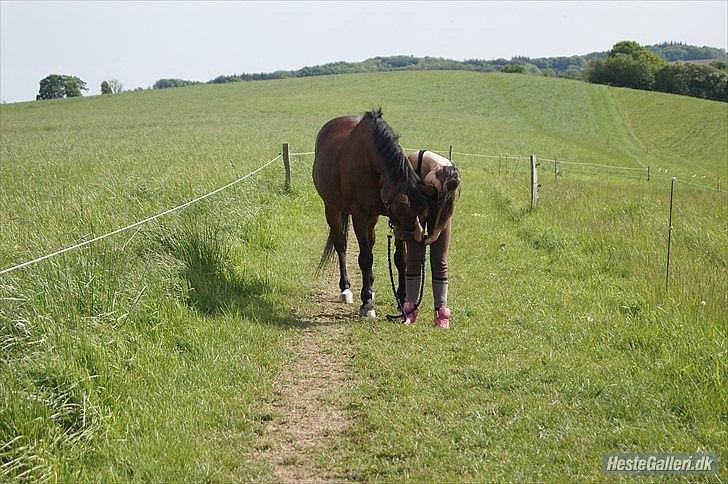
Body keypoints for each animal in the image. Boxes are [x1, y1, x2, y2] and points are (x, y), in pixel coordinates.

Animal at [312, 109, 426, 318]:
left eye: (421, 206)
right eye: (402, 206)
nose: (414, 235)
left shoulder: (390, 220)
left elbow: (400, 259)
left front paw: (402, 298)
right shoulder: (360, 215)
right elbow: (365, 258)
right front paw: (366, 304)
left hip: (372, 219)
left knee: (370, 242)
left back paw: (371, 287)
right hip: (332, 208)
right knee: (341, 245)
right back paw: (346, 289)